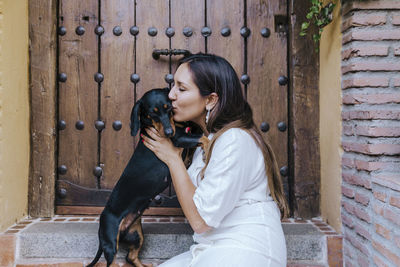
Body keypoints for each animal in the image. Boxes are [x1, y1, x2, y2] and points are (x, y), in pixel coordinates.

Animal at [88, 89, 209, 266]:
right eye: (153, 114)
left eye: (169, 108)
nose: (168, 133)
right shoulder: (179, 139)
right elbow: (203, 138)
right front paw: (208, 148)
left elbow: (198, 135)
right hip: (111, 243)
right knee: (113, 261)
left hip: (136, 234)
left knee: (131, 257)